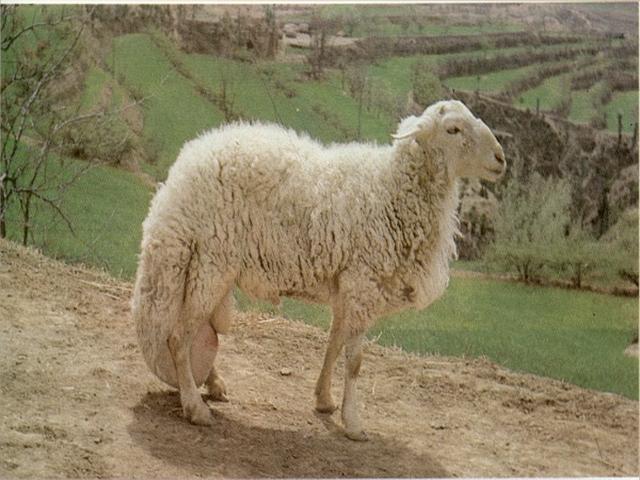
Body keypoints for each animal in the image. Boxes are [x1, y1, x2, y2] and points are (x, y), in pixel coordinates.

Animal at [131, 99, 506, 440]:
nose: (501, 158)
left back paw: (212, 384)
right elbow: (354, 360)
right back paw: (194, 407)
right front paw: (353, 423)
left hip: (213, 269)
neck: (391, 189)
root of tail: (181, 173)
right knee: (179, 337)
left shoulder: (346, 287)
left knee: (202, 330)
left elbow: (333, 344)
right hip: (209, 262)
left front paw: (324, 400)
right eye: (453, 129)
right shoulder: (362, 283)